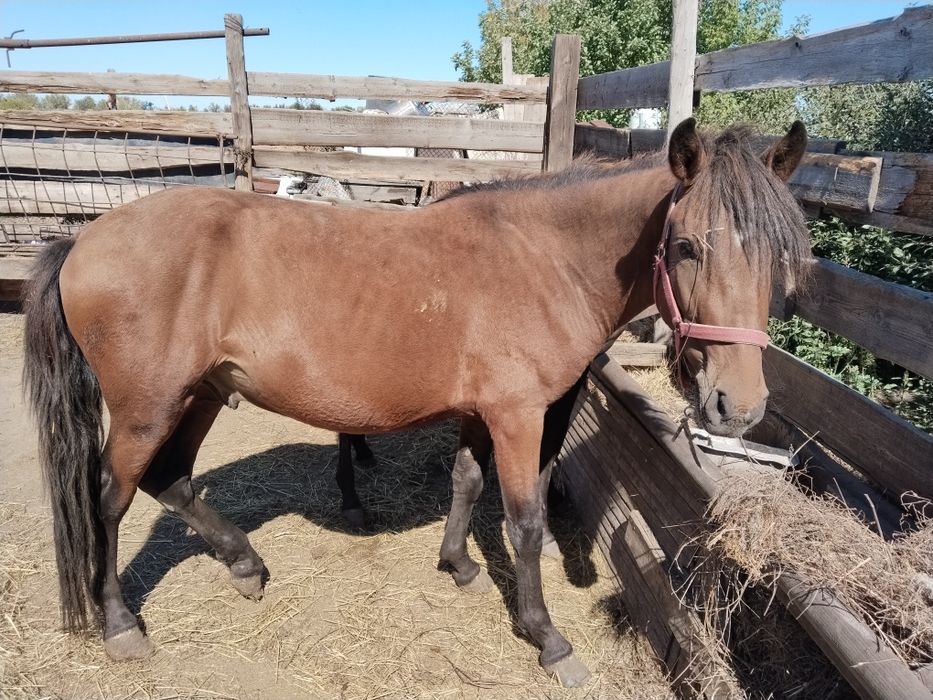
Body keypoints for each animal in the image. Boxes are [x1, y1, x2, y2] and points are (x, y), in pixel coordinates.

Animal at [23, 118, 811, 687]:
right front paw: (546, 636)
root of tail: (83, 240)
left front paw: (458, 565)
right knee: (109, 497)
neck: (543, 259)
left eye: (780, 256)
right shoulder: (518, 417)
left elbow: (464, 482)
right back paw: (121, 624)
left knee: (171, 479)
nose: (737, 406)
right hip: (147, 406)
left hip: (202, 394)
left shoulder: (480, 412)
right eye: (686, 246)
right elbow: (524, 523)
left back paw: (244, 565)